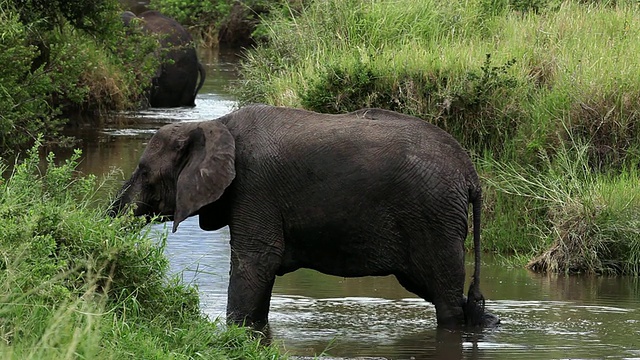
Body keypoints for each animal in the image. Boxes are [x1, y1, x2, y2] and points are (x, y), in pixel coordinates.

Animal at [110, 103, 500, 330]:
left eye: (144, 172)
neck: (212, 123)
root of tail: (470, 173)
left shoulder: (255, 186)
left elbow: (257, 260)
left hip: (433, 216)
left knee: (445, 300)